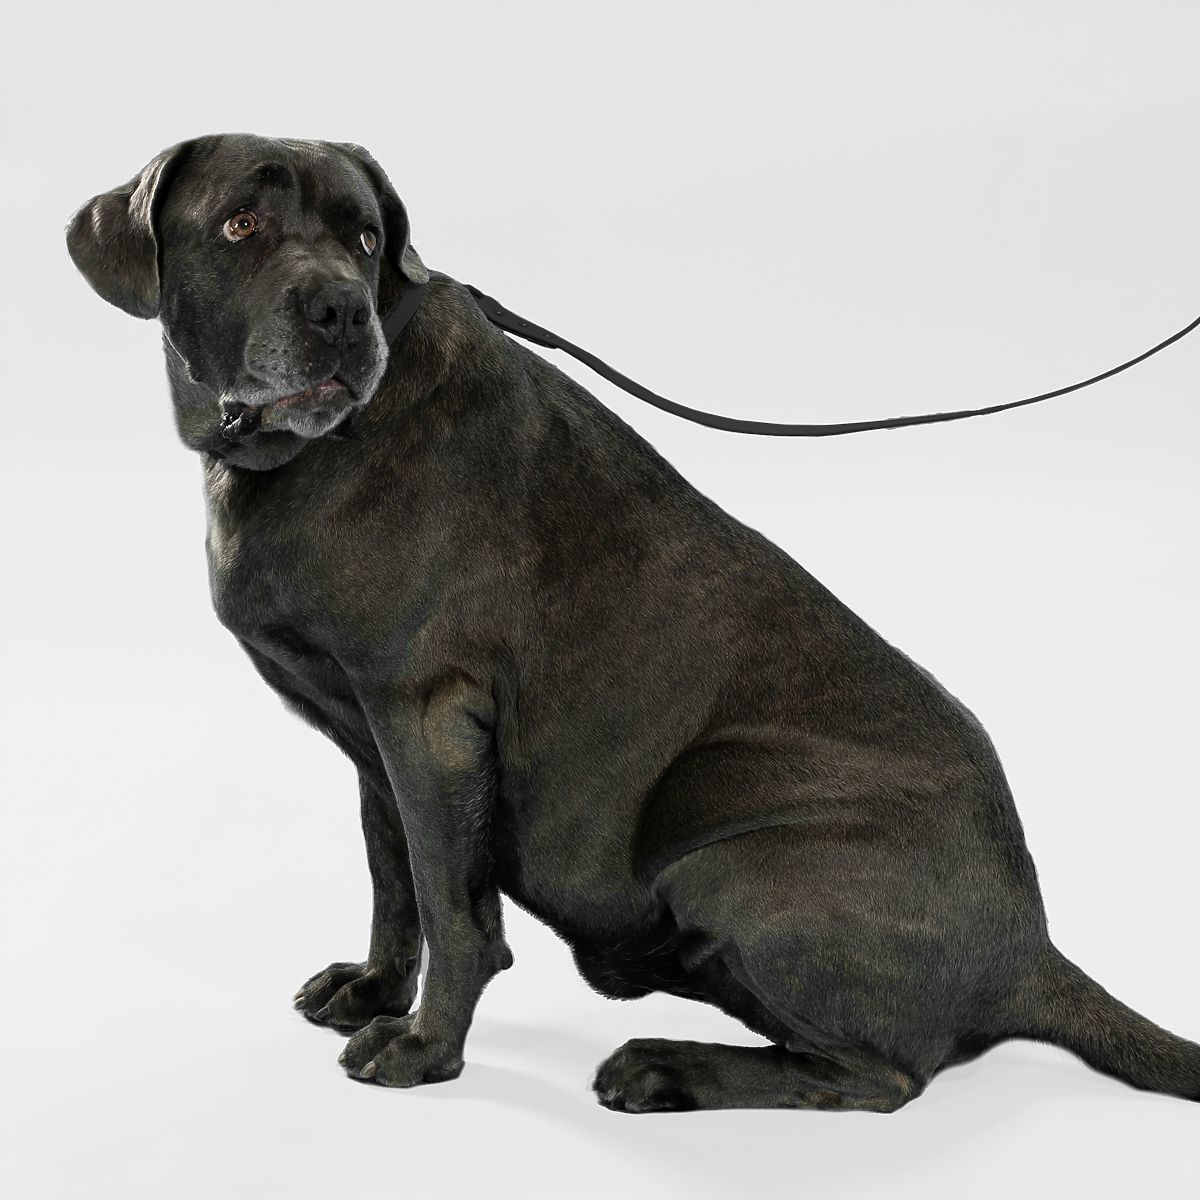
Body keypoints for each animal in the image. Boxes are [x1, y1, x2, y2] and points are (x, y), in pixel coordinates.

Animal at [66, 132, 1199, 1111]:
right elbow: (395, 878)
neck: (297, 454)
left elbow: (450, 904)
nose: (344, 311)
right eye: (240, 225)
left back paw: (667, 1066)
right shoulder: (370, 732)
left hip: (732, 854)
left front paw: (424, 1047)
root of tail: (1030, 949)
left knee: (881, 1076)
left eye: (367, 238)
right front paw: (375, 988)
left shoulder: (426, 716)